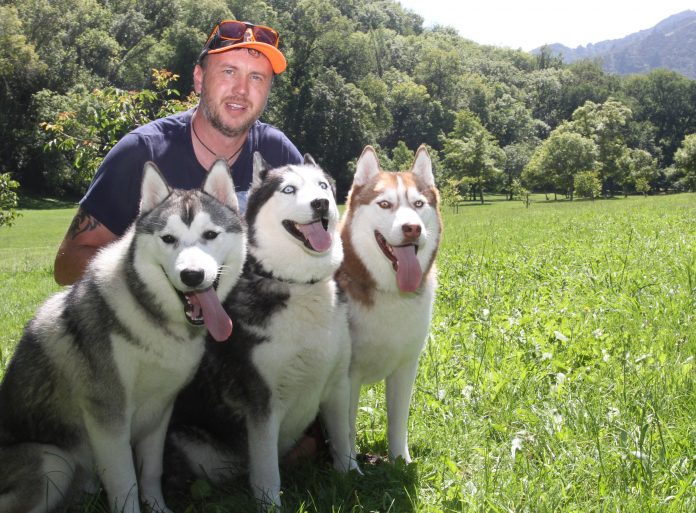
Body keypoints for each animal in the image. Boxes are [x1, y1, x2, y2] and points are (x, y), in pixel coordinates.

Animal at [0, 160, 246, 513]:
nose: (192, 275)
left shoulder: (160, 412)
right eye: (168, 238)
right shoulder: (109, 419)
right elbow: (125, 483)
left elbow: (151, 472)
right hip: (51, 461)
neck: (155, 320)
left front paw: (158, 507)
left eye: (210, 235)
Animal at [166, 153, 357, 508]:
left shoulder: (338, 384)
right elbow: (267, 471)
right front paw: (269, 504)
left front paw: (352, 476)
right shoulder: (261, 405)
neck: (299, 285)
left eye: (323, 186)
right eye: (288, 189)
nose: (321, 204)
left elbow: (342, 440)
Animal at [336, 145, 442, 465]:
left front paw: (400, 461)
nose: (412, 228)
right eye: (385, 204)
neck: (391, 293)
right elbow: (345, 427)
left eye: (418, 203)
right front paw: (349, 468)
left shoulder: (406, 367)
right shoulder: (347, 375)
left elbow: (398, 421)